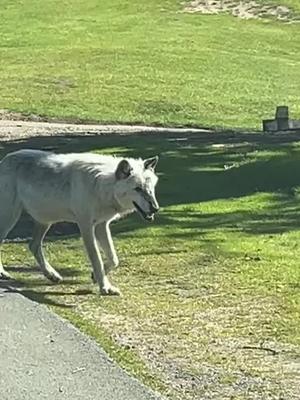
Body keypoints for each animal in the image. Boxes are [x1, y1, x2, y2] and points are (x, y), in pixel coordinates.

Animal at [0, 148, 159, 296]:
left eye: (151, 189)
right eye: (138, 189)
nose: (155, 208)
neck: (102, 185)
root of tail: (4, 160)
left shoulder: (101, 225)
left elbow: (114, 259)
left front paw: (95, 277)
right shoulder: (86, 226)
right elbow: (97, 259)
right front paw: (105, 288)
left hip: (45, 220)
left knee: (33, 245)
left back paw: (51, 275)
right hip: (10, 218)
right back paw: (3, 273)